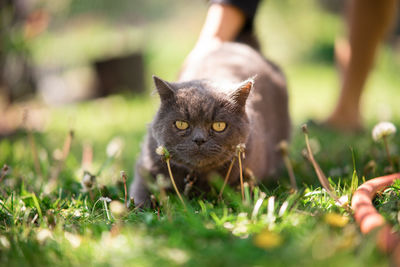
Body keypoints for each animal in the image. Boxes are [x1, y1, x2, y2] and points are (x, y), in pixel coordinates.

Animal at [131, 42, 290, 205]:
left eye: (219, 126)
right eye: (181, 124)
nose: (199, 140)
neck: (197, 177)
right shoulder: (147, 166)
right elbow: (141, 192)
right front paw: (139, 206)